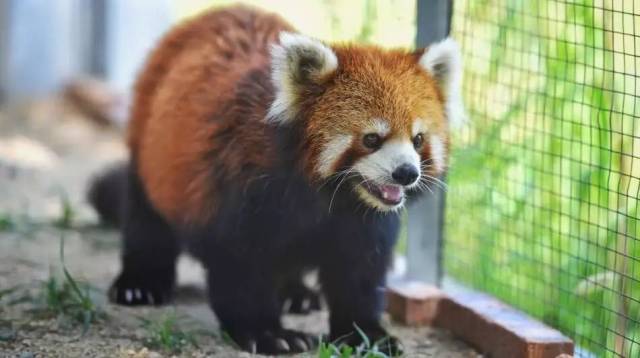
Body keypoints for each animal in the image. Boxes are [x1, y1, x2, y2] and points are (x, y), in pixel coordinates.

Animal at [89, 4, 464, 356]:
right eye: (371, 139)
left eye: (418, 140)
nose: (407, 173)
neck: (331, 197)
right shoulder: (243, 188)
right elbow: (240, 265)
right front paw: (267, 333)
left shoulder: (364, 222)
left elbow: (359, 273)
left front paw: (365, 334)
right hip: (150, 145)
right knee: (147, 219)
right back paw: (140, 282)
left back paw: (296, 293)